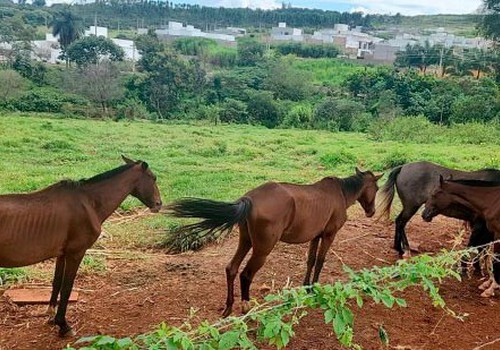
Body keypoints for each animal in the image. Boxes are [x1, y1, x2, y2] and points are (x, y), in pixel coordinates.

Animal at [0, 157, 161, 336]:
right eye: (153, 178)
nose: (158, 204)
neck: (88, 202)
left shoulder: (62, 254)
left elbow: (57, 282)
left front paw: (51, 316)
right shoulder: (76, 253)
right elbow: (67, 287)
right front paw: (63, 325)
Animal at [168, 167, 382, 318]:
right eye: (377, 188)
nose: (371, 212)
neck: (341, 193)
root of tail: (249, 198)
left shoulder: (316, 236)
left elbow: (311, 261)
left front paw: (306, 287)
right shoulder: (329, 235)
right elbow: (320, 261)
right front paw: (314, 288)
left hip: (245, 241)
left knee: (232, 268)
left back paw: (229, 307)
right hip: (262, 250)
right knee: (246, 274)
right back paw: (246, 307)